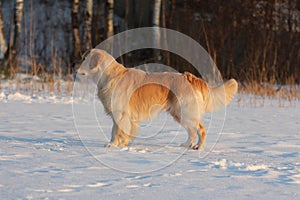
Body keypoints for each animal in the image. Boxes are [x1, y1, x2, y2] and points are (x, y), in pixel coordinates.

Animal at [77, 49, 237, 150]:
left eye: (84, 58)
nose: (75, 67)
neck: (110, 75)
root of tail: (189, 77)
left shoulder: (120, 113)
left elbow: (115, 131)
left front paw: (112, 145)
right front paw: (123, 144)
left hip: (186, 112)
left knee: (201, 129)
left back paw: (199, 147)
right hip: (178, 113)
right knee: (191, 131)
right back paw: (186, 145)